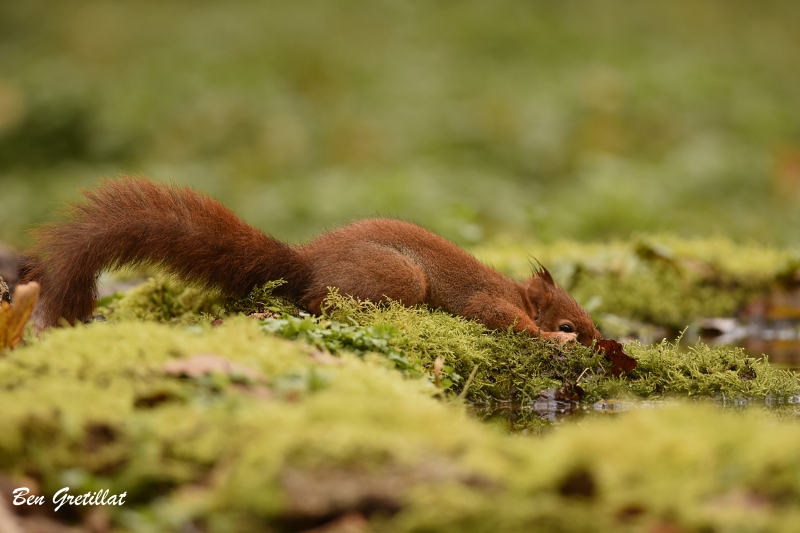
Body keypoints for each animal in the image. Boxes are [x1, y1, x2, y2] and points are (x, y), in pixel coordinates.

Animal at [20, 178, 600, 344]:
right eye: (570, 322)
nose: (601, 345)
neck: (517, 290)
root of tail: (305, 263)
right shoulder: (489, 301)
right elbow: (497, 317)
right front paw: (549, 339)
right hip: (402, 278)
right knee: (321, 303)